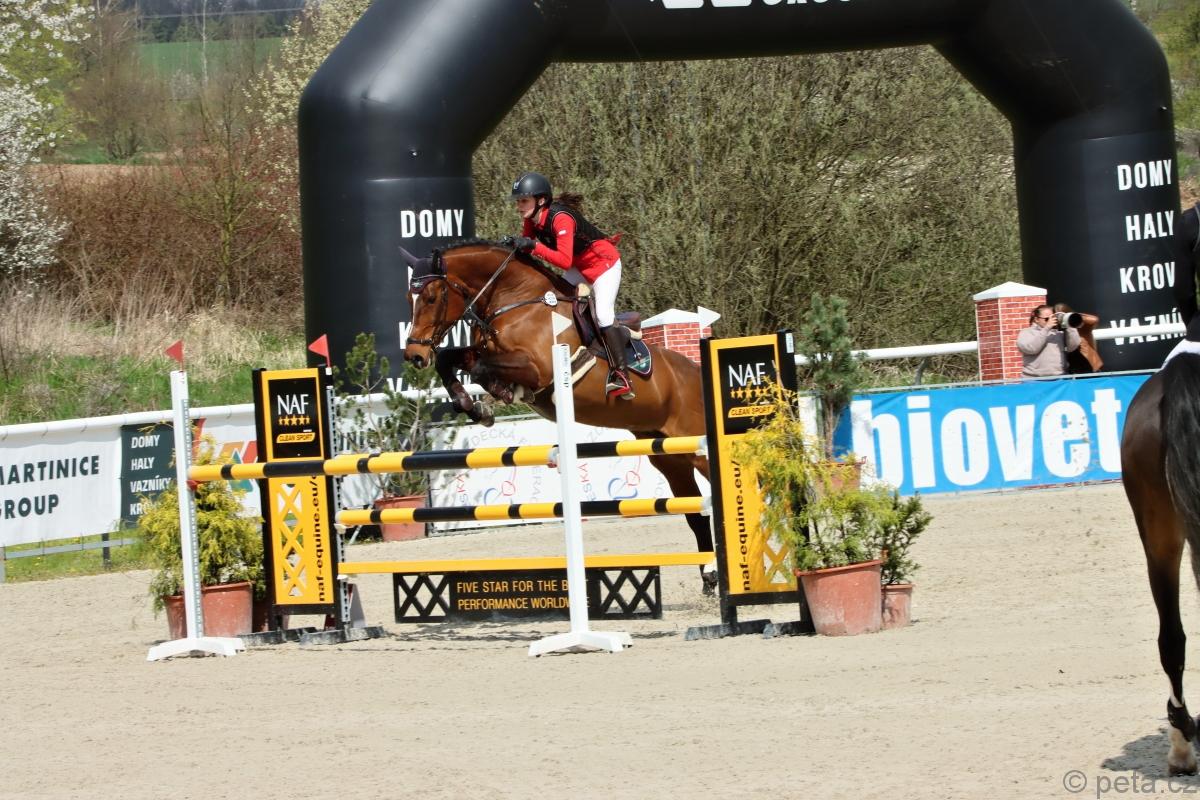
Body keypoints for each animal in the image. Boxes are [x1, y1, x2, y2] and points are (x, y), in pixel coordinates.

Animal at [400, 240, 716, 587]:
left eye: (431, 297)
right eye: (409, 299)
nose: (414, 355)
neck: (512, 298)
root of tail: (695, 372)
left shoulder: (537, 368)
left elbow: (483, 368)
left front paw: (499, 396)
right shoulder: (482, 352)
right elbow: (452, 359)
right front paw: (472, 406)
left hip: (697, 447)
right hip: (670, 458)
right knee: (696, 511)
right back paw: (710, 574)